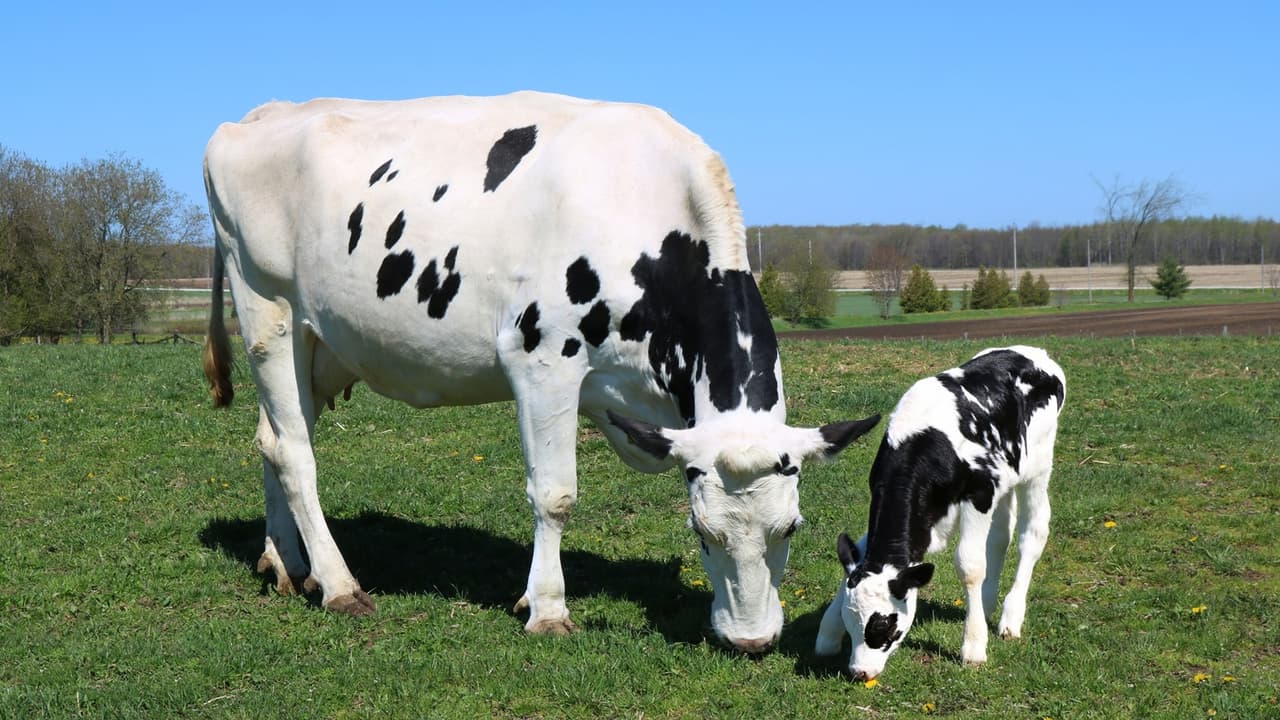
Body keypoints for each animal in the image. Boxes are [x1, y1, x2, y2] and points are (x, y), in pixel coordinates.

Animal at [202, 91, 880, 653]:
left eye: (791, 528)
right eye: (701, 531)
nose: (751, 641)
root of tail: (262, 114)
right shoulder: (543, 361)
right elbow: (554, 495)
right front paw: (549, 609)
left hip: (321, 345)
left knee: (271, 440)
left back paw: (284, 563)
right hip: (269, 313)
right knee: (296, 454)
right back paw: (338, 584)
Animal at [814, 345, 1064, 679]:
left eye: (885, 625)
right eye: (850, 622)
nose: (860, 672)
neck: (925, 443)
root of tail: (1035, 353)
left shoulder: (980, 493)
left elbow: (970, 565)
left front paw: (973, 647)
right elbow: (860, 554)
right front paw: (828, 633)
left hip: (1037, 468)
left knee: (1032, 534)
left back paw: (1010, 618)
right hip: (1007, 477)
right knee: (1001, 536)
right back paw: (986, 604)